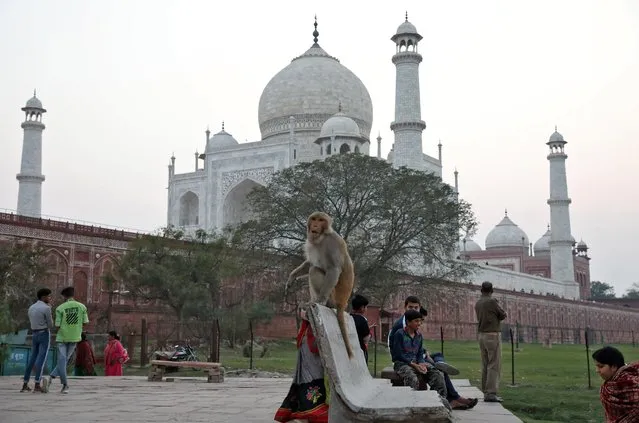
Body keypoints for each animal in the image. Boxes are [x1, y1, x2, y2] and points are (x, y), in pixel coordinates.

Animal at [288, 212, 358, 358]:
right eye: (314, 219)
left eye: (321, 220)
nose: (315, 225)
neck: (321, 238)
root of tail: (342, 304)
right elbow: (309, 262)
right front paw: (292, 276)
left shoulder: (332, 244)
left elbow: (334, 269)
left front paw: (320, 300)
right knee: (313, 268)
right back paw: (311, 300)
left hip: (333, 295)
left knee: (314, 270)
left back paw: (322, 302)